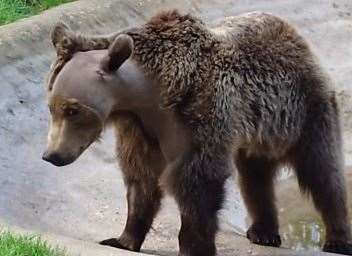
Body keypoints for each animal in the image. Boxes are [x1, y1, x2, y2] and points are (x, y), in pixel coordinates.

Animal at [43, 10, 352, 256]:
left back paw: (337, 239)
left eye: (73, 110)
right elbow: (141, 178)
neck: (147, 94)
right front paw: (121, 239)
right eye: (52, 107)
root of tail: (297, 36)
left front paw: (194, 246)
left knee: (322, 170)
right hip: (257, 132)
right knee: (255, 178)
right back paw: (263, 232)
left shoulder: (199, 113)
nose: (52, 155)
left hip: (303, 111)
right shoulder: (140, 129)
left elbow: (198, 180)